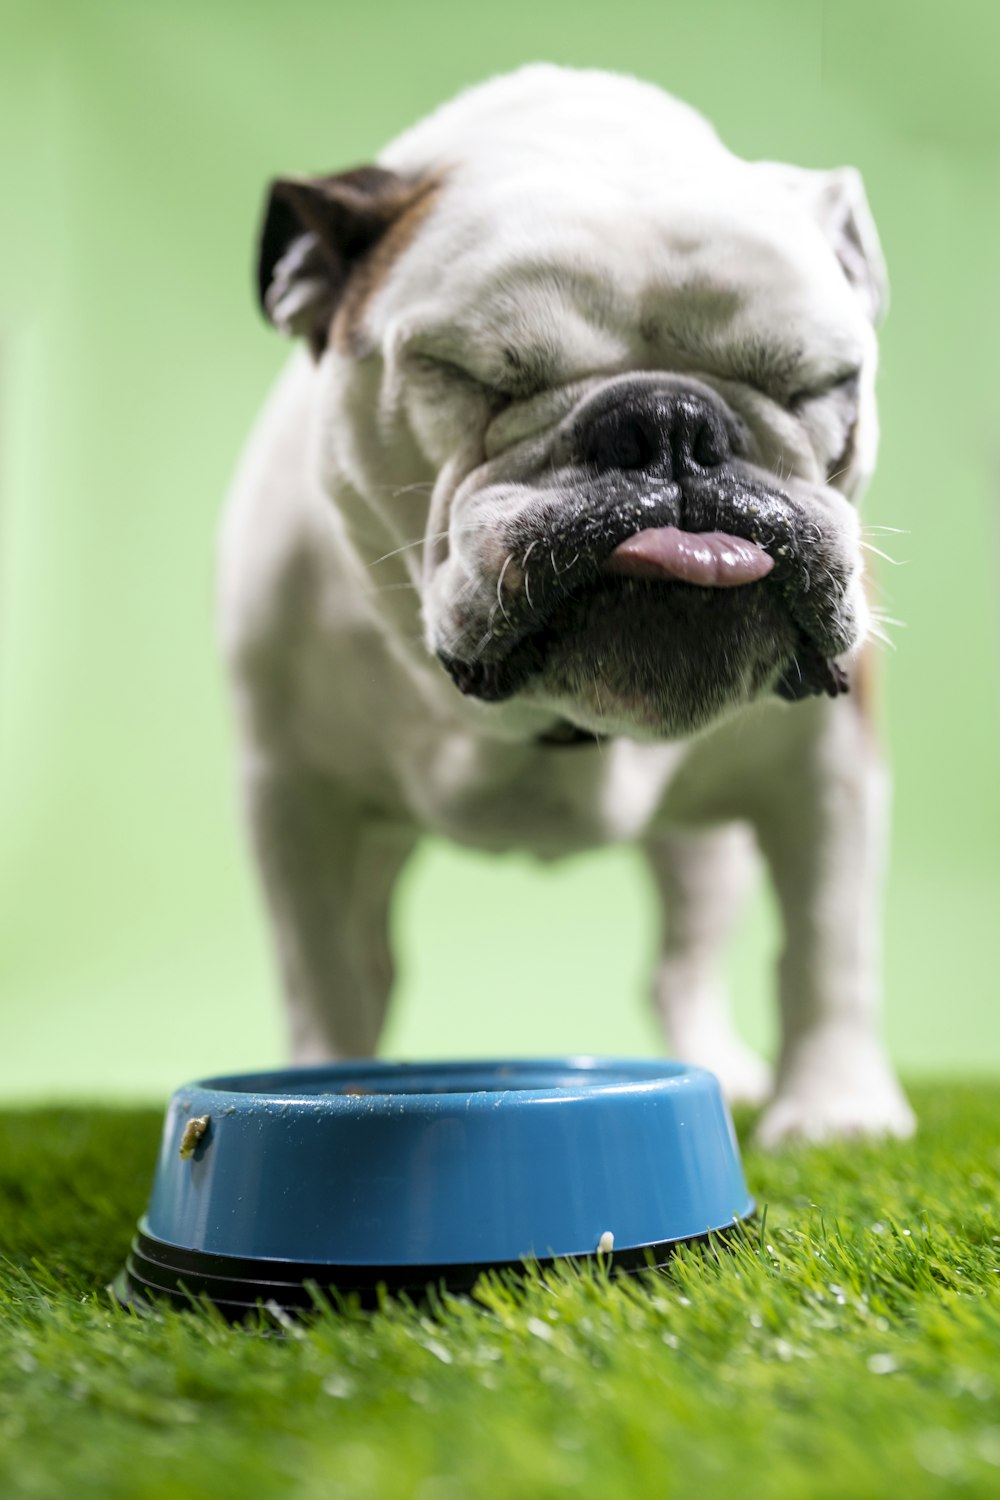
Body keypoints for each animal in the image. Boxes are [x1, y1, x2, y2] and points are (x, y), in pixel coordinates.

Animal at [218, 64, 917, 1140]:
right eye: (465, 374)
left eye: (818, 382)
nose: (670, 422)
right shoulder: (301, 801)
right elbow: (326, 974)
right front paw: (325, 1090)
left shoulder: (827, 773)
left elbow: (826, 944)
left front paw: (834, 1108)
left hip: (703, 849)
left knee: (685, 965)